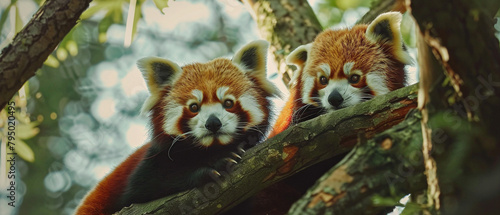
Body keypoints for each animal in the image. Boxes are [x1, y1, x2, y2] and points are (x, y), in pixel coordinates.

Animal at [75, 39, 278, 214]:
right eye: (194, 107)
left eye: (228, 103)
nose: (213, 123)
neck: (211, 149)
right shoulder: (149, 164)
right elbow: (142, 190)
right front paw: (217, 165)